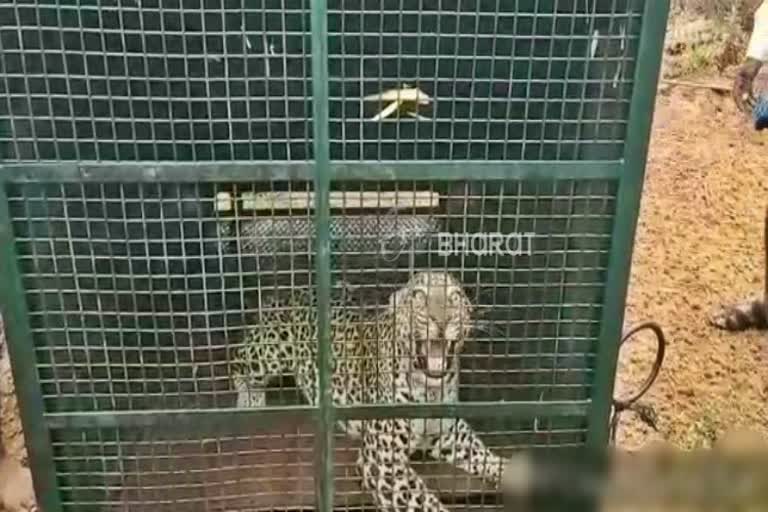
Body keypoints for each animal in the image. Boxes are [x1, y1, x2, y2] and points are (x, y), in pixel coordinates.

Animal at [231, 270, 520, 510]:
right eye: (418, 296)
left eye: (455, 297)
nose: (441, 319)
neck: (429, 389)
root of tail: (290, 292)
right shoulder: (382, 461)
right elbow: (424, 502)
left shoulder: (448, 433)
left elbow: (481, 453)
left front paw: (514, 471)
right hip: (269, 351)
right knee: (239, 361)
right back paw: (250, 401)